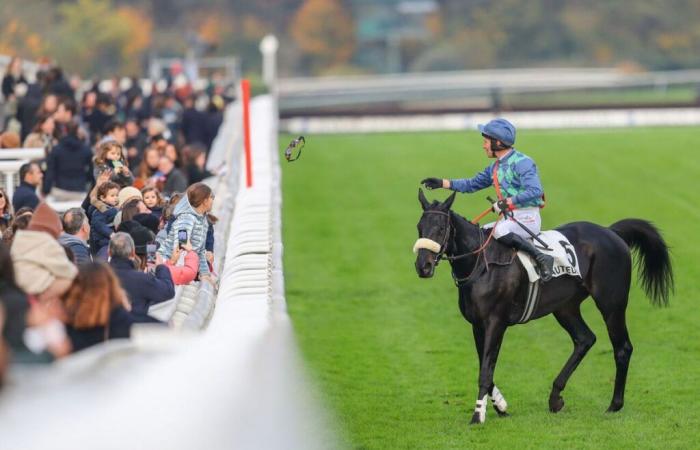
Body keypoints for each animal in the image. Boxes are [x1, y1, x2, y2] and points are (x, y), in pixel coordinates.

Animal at [416, 190, 672, 426]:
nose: (423, 266)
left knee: (622, 348)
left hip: (612, 304)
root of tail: (611, 232)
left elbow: (485, 371)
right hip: (566, 307)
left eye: (440, 228)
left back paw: (614, 405)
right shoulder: (477, 324)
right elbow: (485, 368)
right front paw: (501, 405)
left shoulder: (495, 322)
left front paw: (478, 415)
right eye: (419, 227)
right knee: (584, 339)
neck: (482, 264)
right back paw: (555, 397)